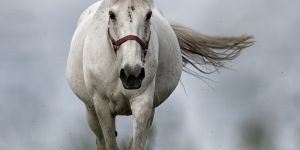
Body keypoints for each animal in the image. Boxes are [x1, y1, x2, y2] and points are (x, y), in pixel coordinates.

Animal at [66, 0, 253, 149]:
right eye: (112, 15)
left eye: (148, 15)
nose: (132, 73)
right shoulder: (102, 105)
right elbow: (110, 145)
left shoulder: (142, 102)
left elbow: (137, 145)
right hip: (91, 112)